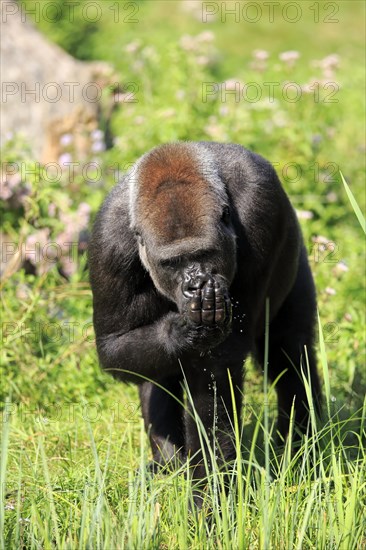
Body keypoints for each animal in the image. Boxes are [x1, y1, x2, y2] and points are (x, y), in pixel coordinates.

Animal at [88, 140, 320, 494]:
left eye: (204, 254)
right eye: (171, 263)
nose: (195, 284)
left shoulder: (259, 205)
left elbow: (218, 367)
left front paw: (209, 494)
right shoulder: (107, 242)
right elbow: (116, 347)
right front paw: (185, 331)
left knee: (289, 351)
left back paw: (301, 443)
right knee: (157, 368)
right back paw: (168, 463)